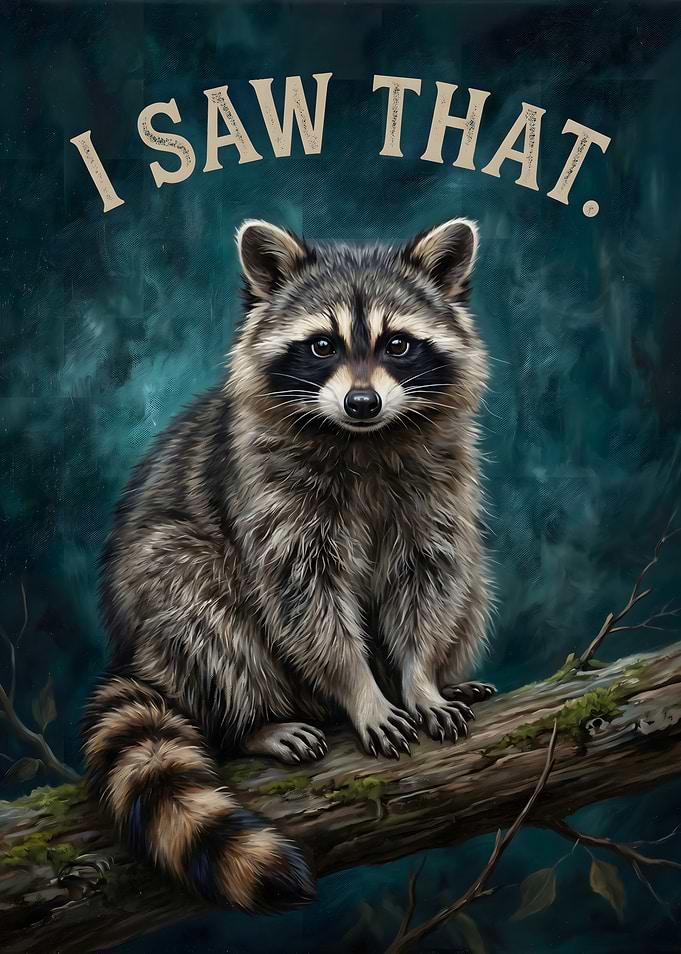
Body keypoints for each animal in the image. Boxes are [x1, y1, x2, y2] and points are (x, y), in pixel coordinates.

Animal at [83, 217, 494, 913]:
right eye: (322, 345)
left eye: (399, 345)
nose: (362, 402)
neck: (361, 439)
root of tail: (139, 658)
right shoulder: (269, 492)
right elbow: (305, 597)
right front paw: (362, 689)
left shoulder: (436, 481)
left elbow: (430, 575)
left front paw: (419, 678)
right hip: (167, 586)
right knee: (199, 604)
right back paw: (253, 722)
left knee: (470, 574)